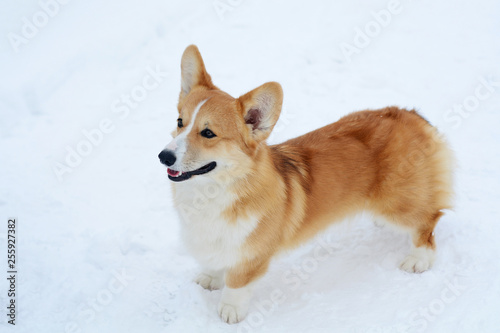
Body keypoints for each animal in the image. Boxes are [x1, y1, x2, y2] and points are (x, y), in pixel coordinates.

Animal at [158, 45, 456, 322]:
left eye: (208, 133)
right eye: (180, 122)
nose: (163, 157)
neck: (210, 190)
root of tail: (411, 115)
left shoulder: (252, 256)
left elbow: (237, 284)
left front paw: (230, 311)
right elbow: (214, 261)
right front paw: (210, 278)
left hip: (397, 205)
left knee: (428, 220)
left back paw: (419, 259)